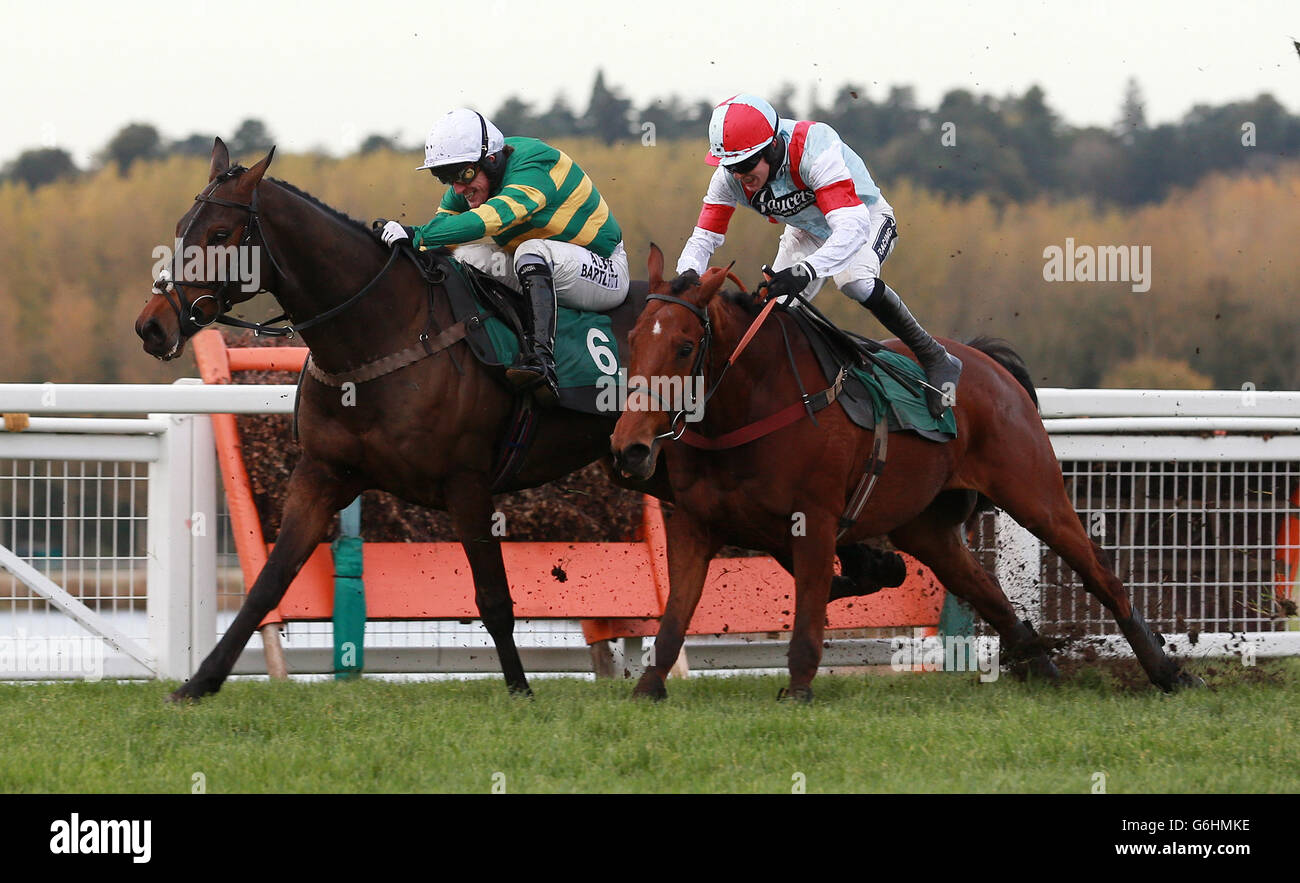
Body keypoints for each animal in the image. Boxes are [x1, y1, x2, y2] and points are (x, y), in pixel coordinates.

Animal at [613, 245, 1201, 702]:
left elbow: (810, 609)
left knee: (1101, 573)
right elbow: (675, 618)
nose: (629, 448)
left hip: (1034, 494)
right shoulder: (694, 525)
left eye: (685, 346)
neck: (751, 406)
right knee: (984, 588)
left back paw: (1169, 673)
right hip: (928, 530)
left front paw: (798, 690)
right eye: (633, 339)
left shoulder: (814, 521)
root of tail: (987, 364)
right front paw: (648, 687)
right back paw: (1040, 663)